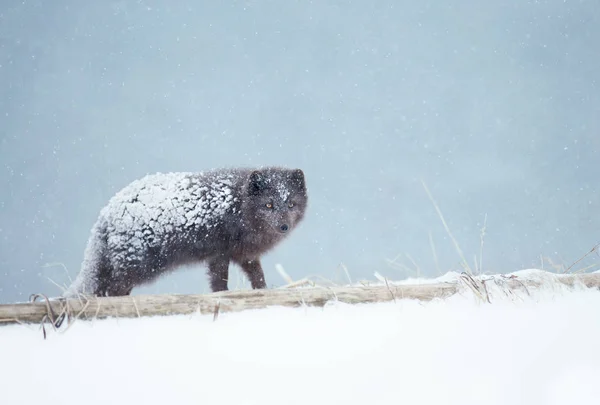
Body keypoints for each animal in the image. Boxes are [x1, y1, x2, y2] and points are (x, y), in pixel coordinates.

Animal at [64, 165, 310, 296]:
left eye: (291, 204)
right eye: (268, 205)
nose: (284, 226)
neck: (236, 206)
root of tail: (106, 212)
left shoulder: (245, 254)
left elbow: (258, 277)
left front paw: (263, 291)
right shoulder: (219, 253)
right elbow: (219, 282)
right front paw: (222, 296)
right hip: (137, 265)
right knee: (110, 289)